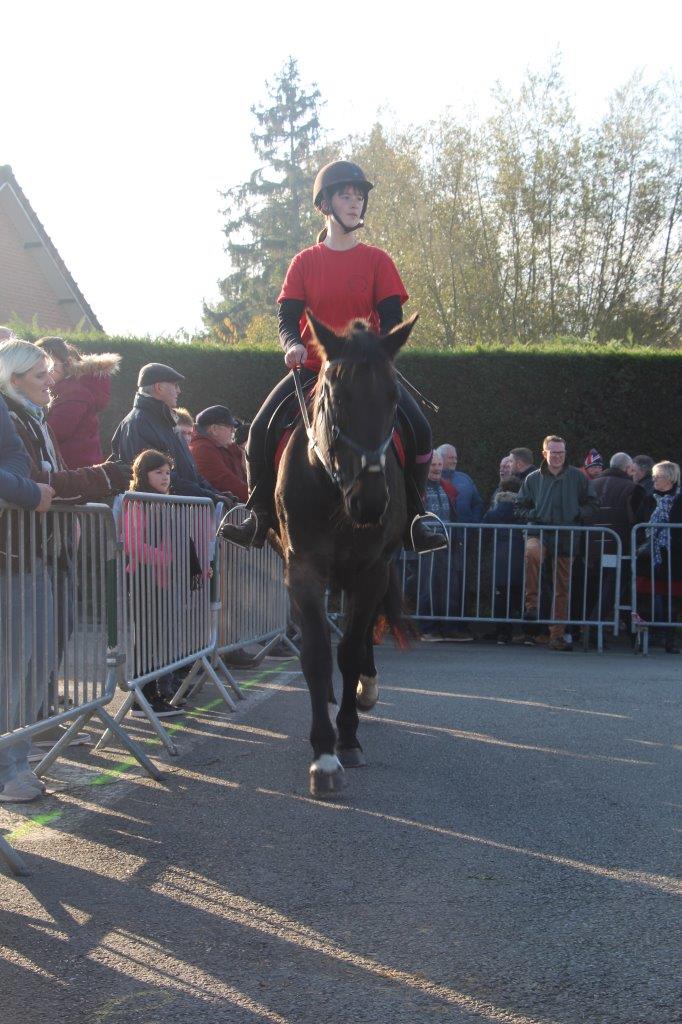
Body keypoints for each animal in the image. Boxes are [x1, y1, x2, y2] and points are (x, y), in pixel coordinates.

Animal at [274, 311, 413, 798]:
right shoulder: (302, 569)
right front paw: (324, 754)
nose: (370, 502)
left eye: (393, 397)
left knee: (363, 634)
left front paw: (347, 739)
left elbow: (351, 649)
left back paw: (362, 691)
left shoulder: (372, 570)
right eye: (336, 396)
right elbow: (316, 653)